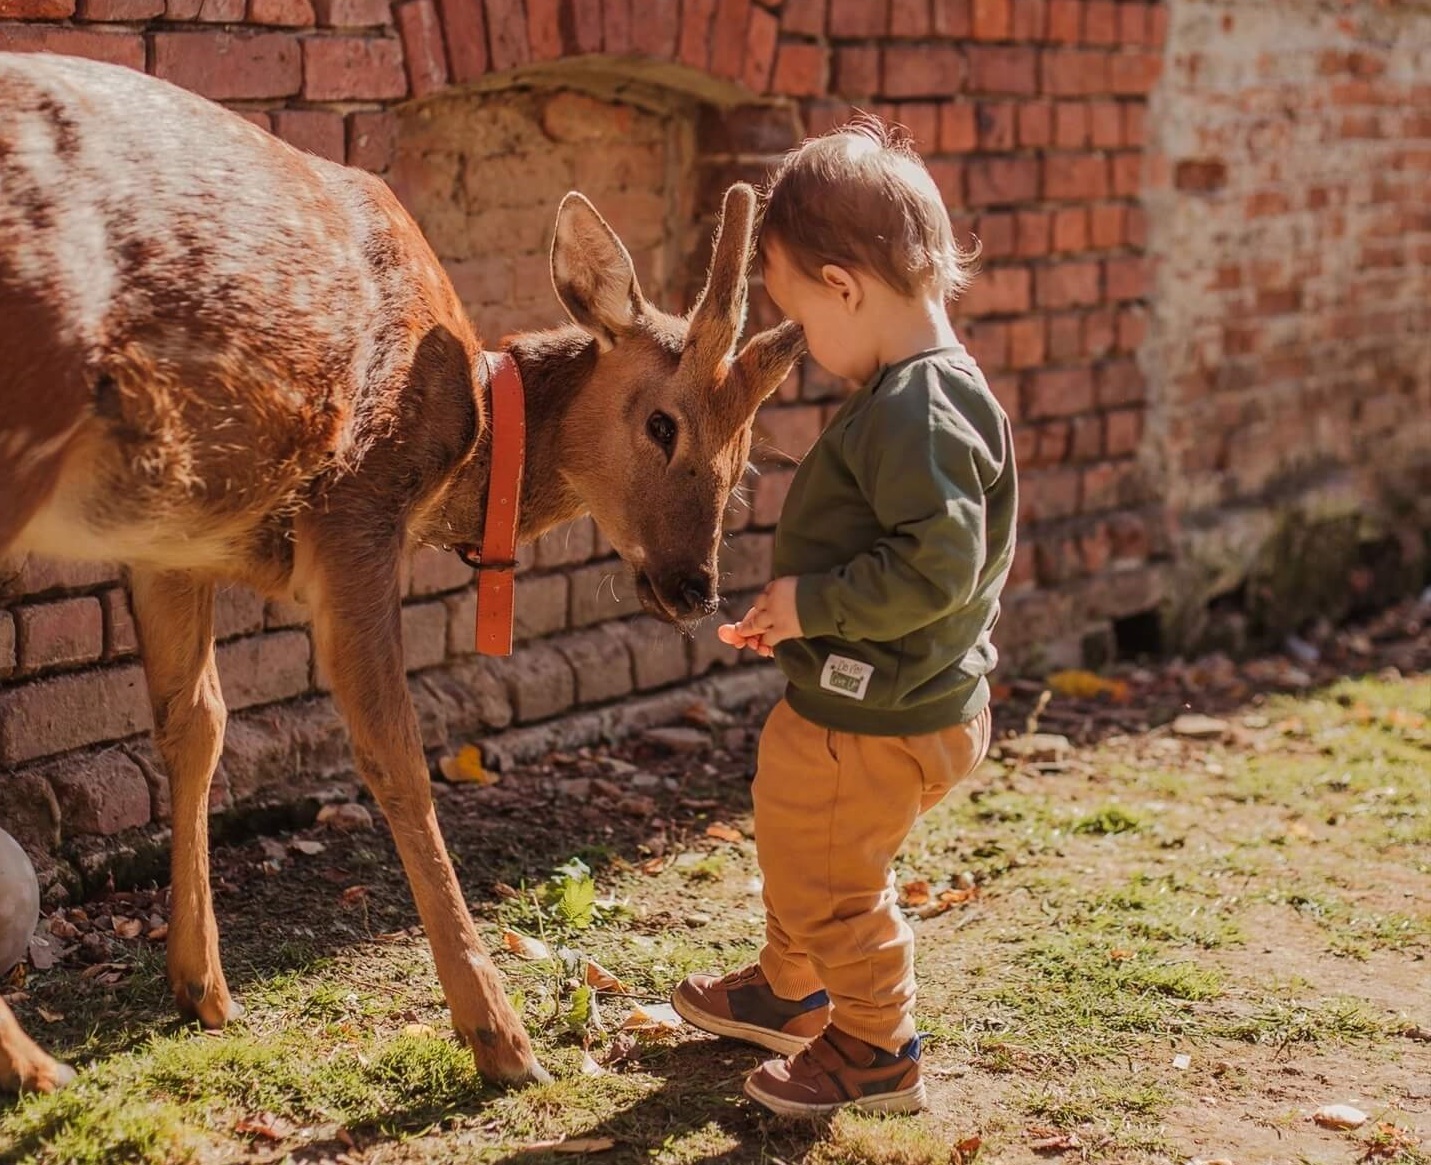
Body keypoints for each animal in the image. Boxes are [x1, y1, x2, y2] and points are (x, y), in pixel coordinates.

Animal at [0, 54, 807, 1093]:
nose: (693, 589)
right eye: (661, 423)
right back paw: (36, 1067)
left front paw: (204, 989)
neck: (466, 447)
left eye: (744, 460)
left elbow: (196, 725)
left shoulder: (170, 537)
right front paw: (500, 1037)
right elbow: (399, 757)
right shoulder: (356, 505)